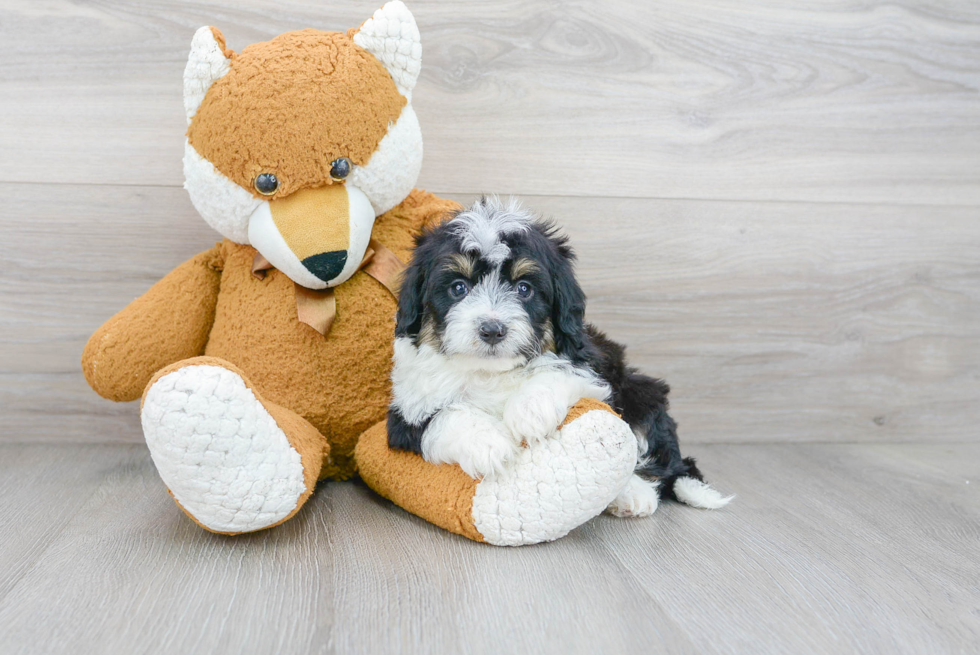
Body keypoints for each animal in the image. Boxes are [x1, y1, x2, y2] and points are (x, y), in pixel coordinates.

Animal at [386, 197, 732, 516]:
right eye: (459, 287)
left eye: (524, 288)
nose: (492, 329)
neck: (490, 372)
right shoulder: (406, 411)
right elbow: (444, 416)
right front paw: (489, 443)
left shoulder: (592, 369)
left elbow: (558, 372)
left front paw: (529, 411)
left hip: (641, 392)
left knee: (657, 459)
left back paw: (633, 494)